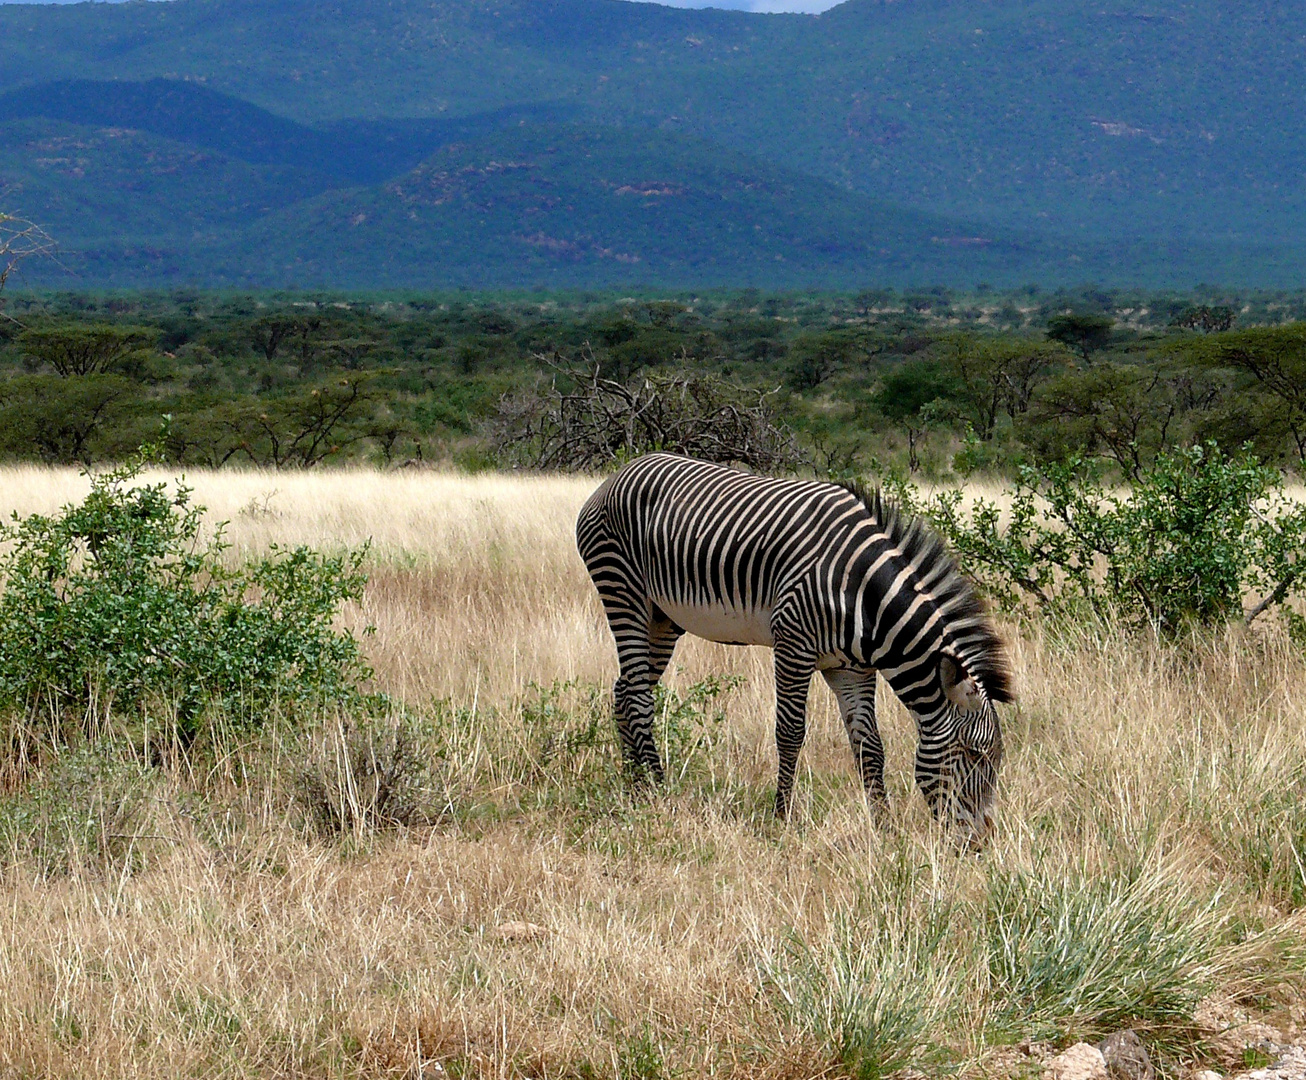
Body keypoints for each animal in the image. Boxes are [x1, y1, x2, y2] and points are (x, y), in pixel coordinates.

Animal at [577, 451, 1013, 851]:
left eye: (995, 759)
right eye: (975, 755)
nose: (980, 844)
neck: (864, 595)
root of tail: (618, 474)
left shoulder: (852, 668)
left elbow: (870, 745)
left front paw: (884, 827)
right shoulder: (792, 644)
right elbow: (790, 732)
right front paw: (782, 817)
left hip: (663, 618)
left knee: (623, 690)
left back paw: (632, 787)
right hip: (623, 591)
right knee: (637, 696)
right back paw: (657, 788)